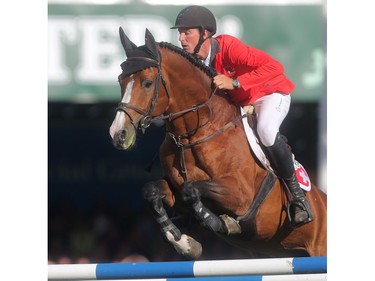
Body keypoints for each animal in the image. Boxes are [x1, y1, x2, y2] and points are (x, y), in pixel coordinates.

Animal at [110, 28, 328, 258]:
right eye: (120, 81)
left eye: (147, 83)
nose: (118, 133)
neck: (193, 133)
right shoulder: (174, 190)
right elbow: (152, 190)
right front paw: (184, 243)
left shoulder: (240, 195)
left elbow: (191, 190)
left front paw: (218, 223)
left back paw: (300, 207)